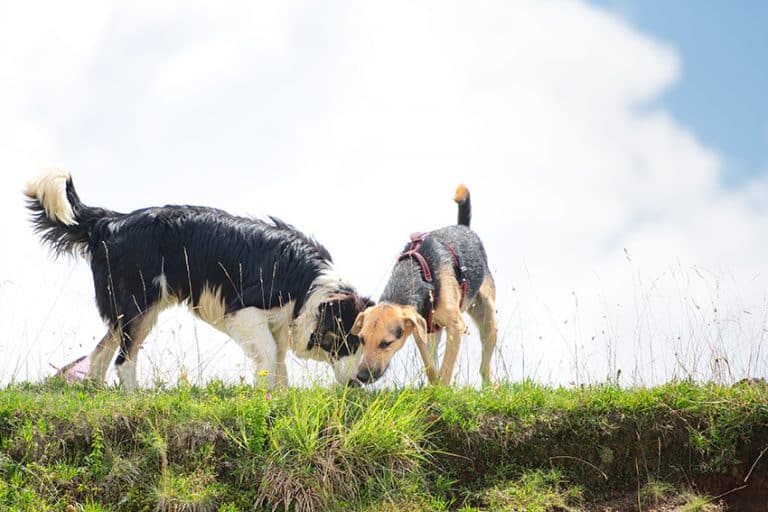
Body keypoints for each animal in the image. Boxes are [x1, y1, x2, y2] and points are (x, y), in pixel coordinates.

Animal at [24, 170, 372, 390]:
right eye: (350, 342)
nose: (360, 382)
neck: (309, 286)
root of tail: (111, 222)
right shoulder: (244, 310)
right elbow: (270, 356)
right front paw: (266, 399)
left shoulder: (279, 323)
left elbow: (279, 362)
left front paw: (280, 399)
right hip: (139, 306)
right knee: (123, 360)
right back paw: (135, 398)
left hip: (132, 310)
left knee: (100, 355)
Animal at [350, 184, 498, 384]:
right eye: (362, 340)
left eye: (386, 343)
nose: (362, 377)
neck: (417, 274)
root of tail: (463, 227)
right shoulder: (421, 331)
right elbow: (431, 367)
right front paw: (434, 385)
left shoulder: (455, 327)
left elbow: (446, 370)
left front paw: (443, 389)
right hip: (435, 330)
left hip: (488, 319)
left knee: (485, 367)